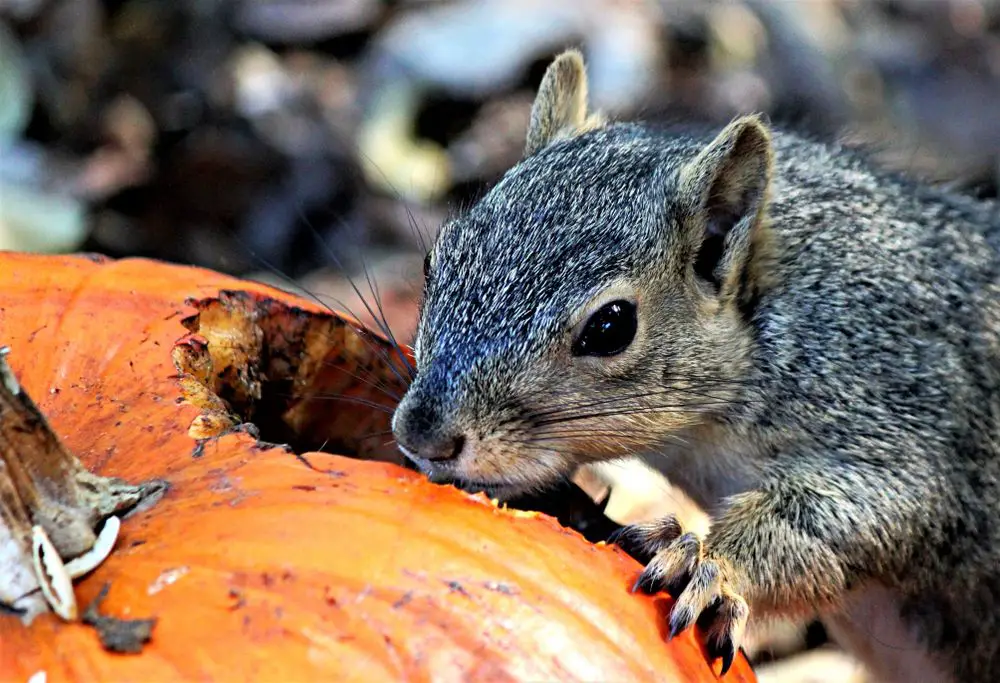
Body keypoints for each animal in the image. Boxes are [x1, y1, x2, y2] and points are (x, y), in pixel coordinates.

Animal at [390, 49, 1000, 683]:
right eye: (436, 258)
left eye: (611, 327)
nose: (423, 435)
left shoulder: (902, 397)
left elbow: (871, 510)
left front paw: (704, 561)